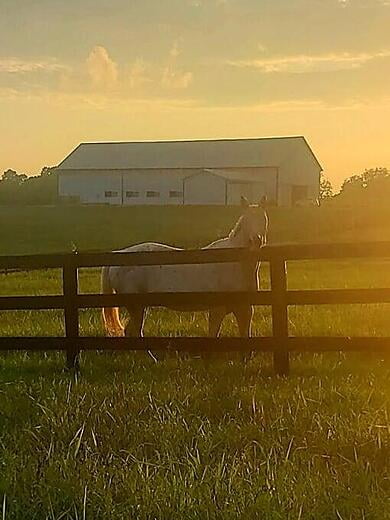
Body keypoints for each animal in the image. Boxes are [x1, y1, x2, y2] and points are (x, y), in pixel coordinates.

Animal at [101, 197, 268, 340]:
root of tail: (118, 255)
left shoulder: (245, 310)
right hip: (137, 306)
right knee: (132, 331)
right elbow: (213, 334)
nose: (256, 240)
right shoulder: (217, 310)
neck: (235, 263)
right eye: (247, 220)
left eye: (263, 219)